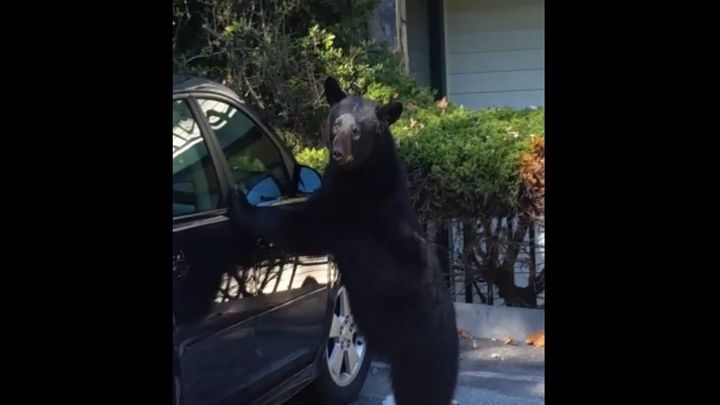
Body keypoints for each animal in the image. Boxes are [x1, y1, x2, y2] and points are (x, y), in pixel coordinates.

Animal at [228, 77, 458, 402]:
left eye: (357, 131)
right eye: (336, 124)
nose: (339, 152)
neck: (362, 173)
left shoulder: (350, 209)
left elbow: (303, 228)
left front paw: (241, 204)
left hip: (420, 351)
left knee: (421, 390)